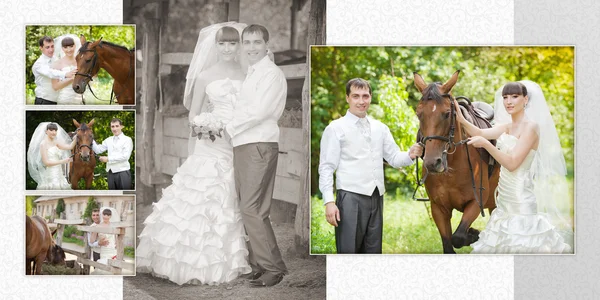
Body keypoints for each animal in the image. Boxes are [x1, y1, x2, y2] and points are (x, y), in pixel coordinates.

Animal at [412, 71, 502, 253]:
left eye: (447, 114)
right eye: (419, 114)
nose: (433, 163)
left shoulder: (476, 202)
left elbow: (458, 237)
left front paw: (474, 234)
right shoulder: (438, 208)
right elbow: (449, 243)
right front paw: (474, 234)